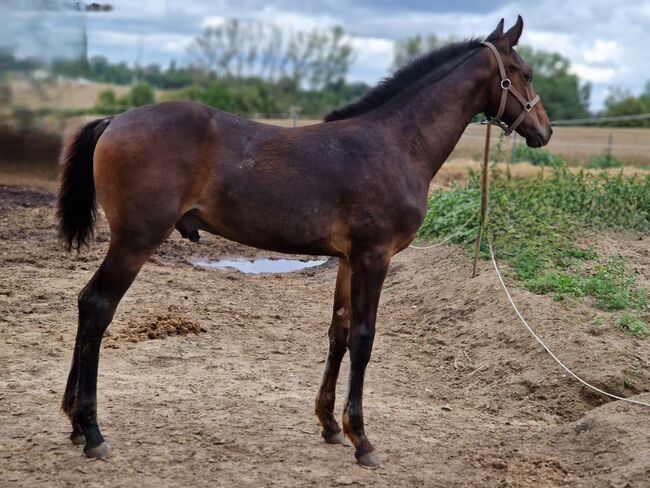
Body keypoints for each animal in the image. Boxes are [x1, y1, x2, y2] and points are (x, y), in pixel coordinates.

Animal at [58, 17, 548, 468]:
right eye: (526, 72)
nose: (545, 131)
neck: (395, 144)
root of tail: (115, 120)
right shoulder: (374, 257)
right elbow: (364, 339)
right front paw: (362, 439)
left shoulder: (348, 260)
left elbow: (339, 333)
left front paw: (330, 424)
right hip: (135, 241)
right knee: (97, 306)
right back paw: (92, 430)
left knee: (87, 304)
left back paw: (74, 422)